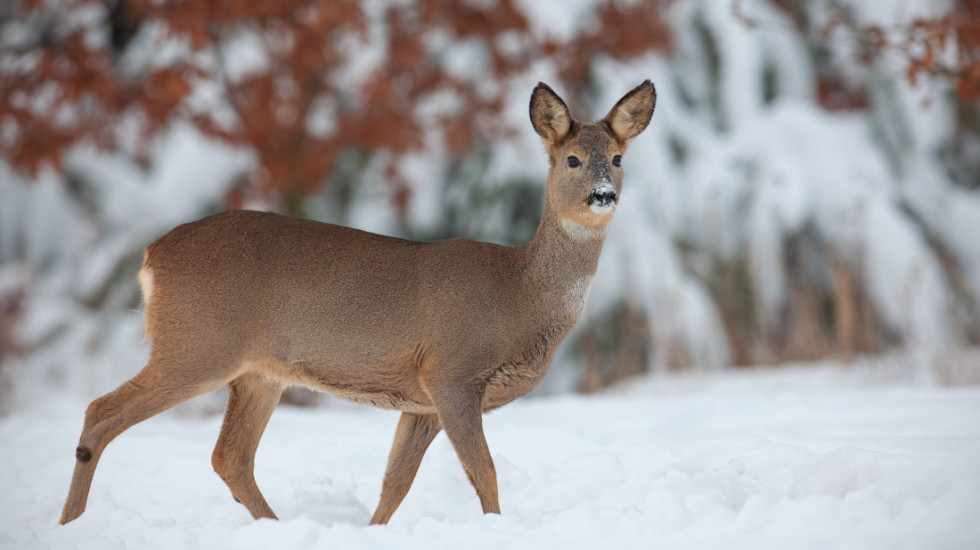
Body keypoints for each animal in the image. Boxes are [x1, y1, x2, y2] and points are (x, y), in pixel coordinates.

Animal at [57, 80, 656, 528]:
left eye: (617, 158)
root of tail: (151, 255)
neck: (520, 294)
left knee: (230, 455)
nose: (604, 195)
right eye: (573, 159)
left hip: (257, 371)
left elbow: (395, 483)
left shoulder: (420, 399)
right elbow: (483, 473)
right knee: (100, 412)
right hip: (197, 343)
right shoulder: (452, 371)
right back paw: (71, 524)